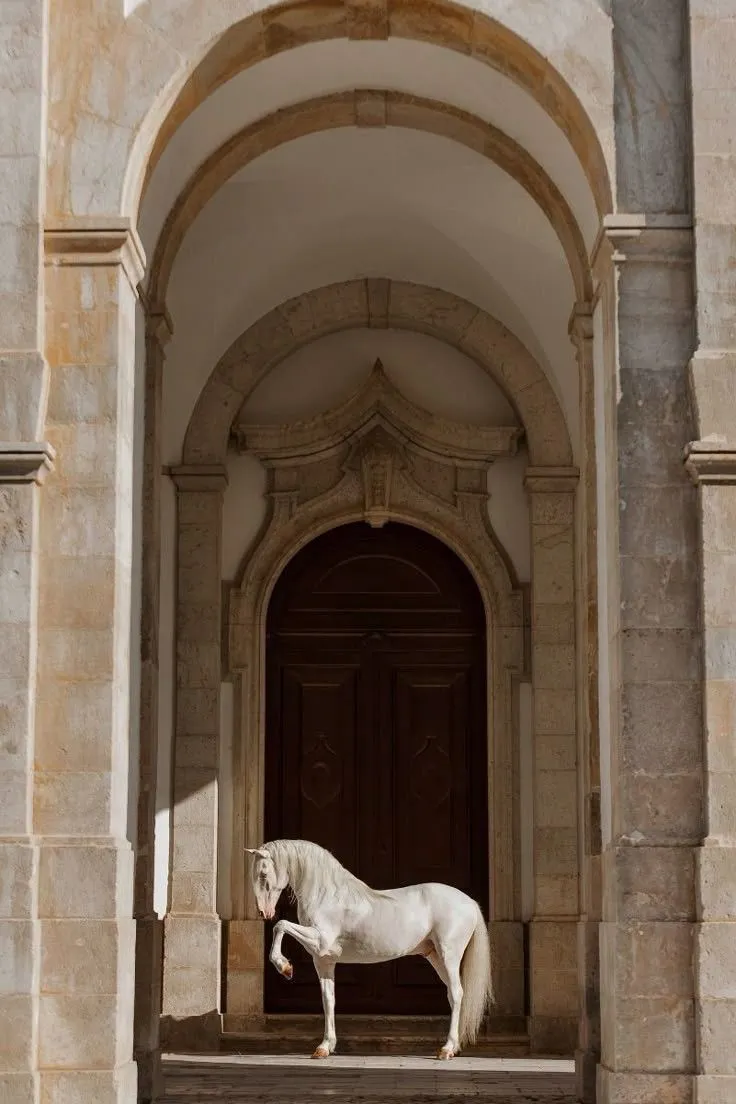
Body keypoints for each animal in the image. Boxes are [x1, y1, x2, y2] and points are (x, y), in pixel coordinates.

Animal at [246, 839, 493, 1060]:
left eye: (263, 874)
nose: (264, 913)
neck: (327, 896)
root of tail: (470, 903)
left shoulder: (319, 940)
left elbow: (281, 925)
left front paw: (284, 967)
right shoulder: (323, 959)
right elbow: (328, 999)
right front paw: (325, 1047)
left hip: (449, 956)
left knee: (457, 993)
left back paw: (447, 1049)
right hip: (435, 958)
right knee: (453, 995)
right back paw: (453, 1047)